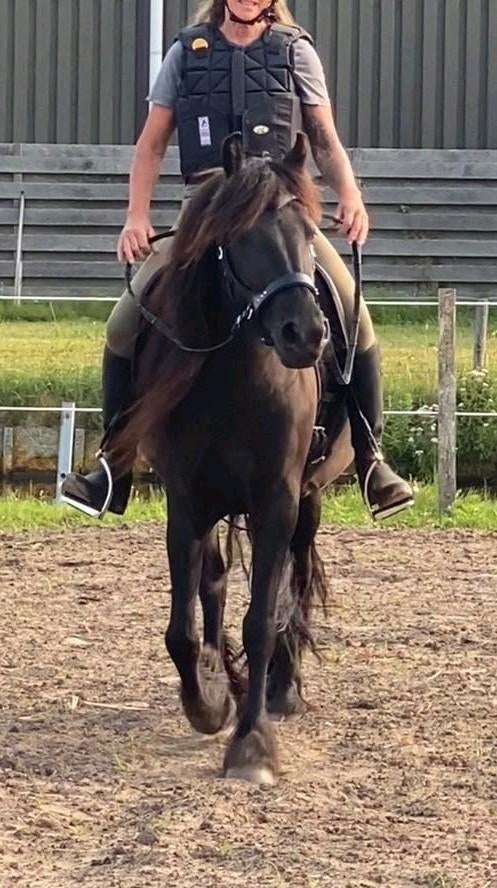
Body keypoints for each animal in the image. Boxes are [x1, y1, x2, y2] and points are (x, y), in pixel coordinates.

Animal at [117, 133, 353, 785]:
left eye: (309, 227)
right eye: (241, 235)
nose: (306, 334)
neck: (235, 378)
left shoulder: (277, 501)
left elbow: (263, 617)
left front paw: (252, 744)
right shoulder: (187, 504)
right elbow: (183, 626)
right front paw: (210, 704)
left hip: (308, 501)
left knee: (296, 582)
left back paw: (284, 688)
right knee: (217, 585)